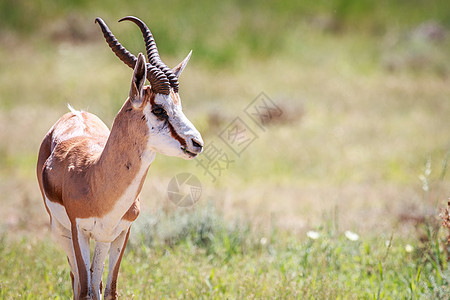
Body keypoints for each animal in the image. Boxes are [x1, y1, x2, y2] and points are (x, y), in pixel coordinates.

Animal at [37, 17, 204, 300]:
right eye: (159, 110)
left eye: (179, 105)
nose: (197, 143)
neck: (95, 178)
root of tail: (76, 112)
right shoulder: (78, 232)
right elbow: (85, 291)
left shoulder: (119, 233)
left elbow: (109, 290)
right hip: (61, 233)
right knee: (77, 283)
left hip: (100, 240)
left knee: (95, 285)